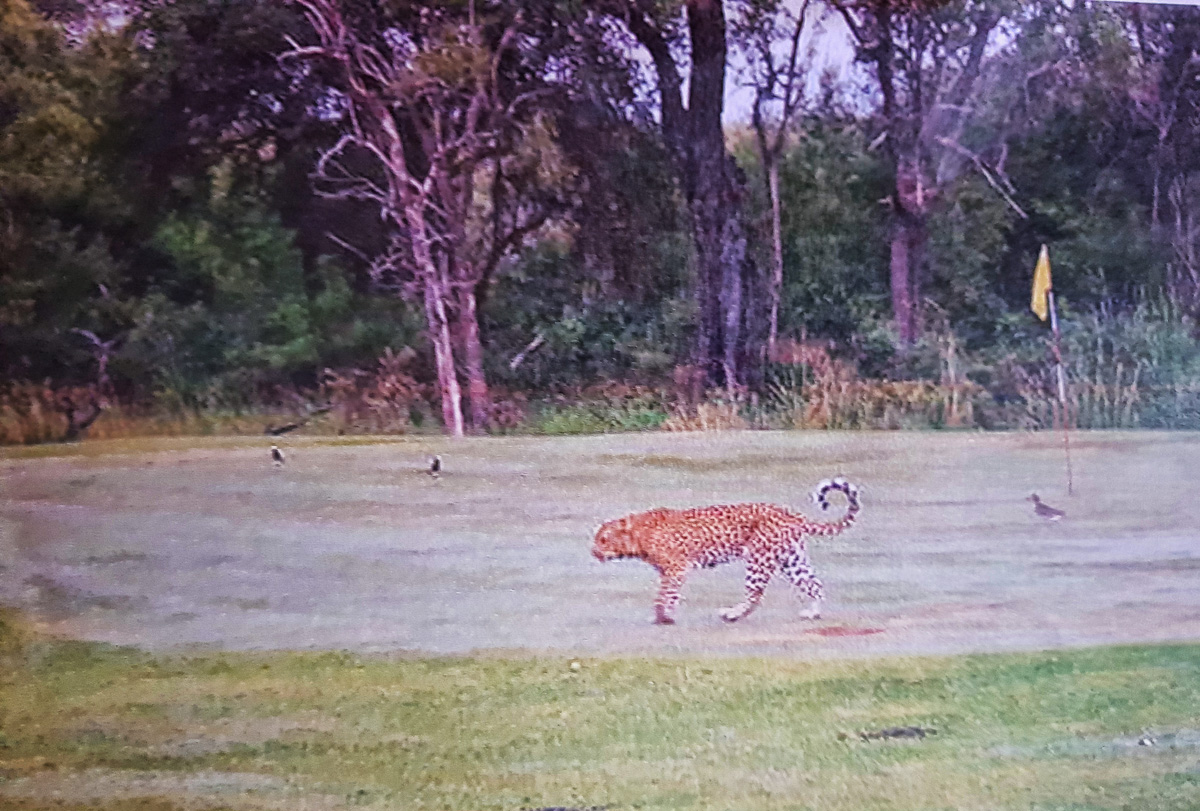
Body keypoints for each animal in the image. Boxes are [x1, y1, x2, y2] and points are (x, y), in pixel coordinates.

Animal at [591, 477, 861, 625]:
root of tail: (791, 513)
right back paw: (813, 613)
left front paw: (662, 617)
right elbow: (670, 595)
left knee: (755, 595)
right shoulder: (672, 571)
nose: (593, 552)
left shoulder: (676, 568)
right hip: (791, 559)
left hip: (759, 558)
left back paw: (732, 615)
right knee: (814, 585)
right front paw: (664, 616)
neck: (638, 535)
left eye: (603, 539)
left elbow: (664, 595)